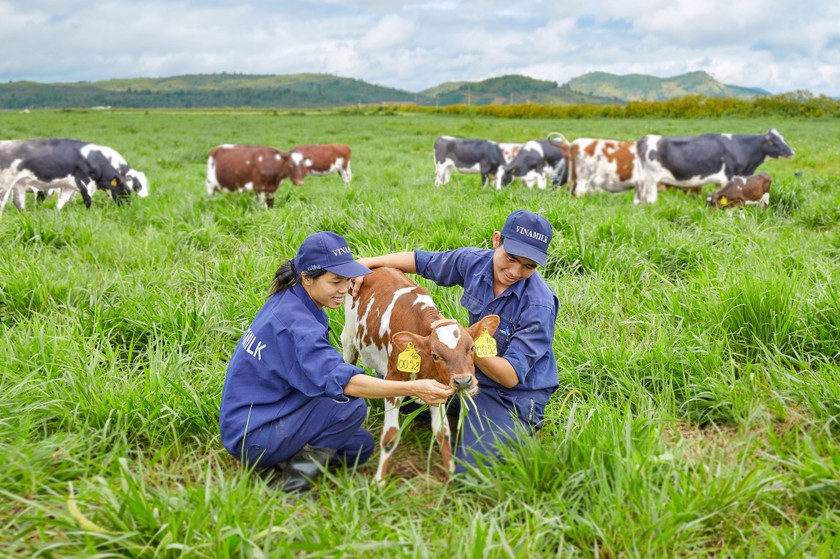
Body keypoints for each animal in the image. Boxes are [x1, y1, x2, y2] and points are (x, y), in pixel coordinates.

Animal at [0, 138, 131, 219]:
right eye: (124, 191)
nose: (128, 208)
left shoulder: (69, 187)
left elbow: (61, 202)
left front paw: (56, 215)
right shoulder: (83, 182)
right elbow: (88, 200)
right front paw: (88, 214)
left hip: (18, 184)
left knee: (18, 203)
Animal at [342, 266, 498, 482]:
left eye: (472, 348)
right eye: (436, 355)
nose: (463, 381)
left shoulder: (438, 389)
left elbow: (443, 433)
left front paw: (450, 475)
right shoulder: (393, 382)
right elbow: (390, 437)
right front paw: (379, 481)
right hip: (349, 338)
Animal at [636, 128, 796, 205]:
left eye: (784, 138)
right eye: (775, 141)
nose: (792, 152)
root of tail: (644, 139)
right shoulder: (728, 177)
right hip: (650, 181)